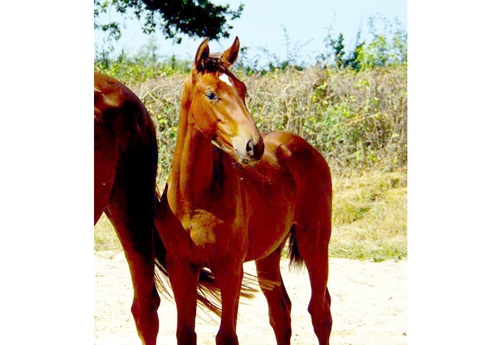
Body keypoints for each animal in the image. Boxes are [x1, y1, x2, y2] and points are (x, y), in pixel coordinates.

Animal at [155, 37, 332, 344]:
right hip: (269, 253)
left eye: (243, 90)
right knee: (281, 312)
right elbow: (185, 333)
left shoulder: (230, 269)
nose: (254, 146)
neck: (195, 200)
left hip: (315, 242)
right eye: (211, 94)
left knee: (320, 311)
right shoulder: (181, 268)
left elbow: (226, 335)